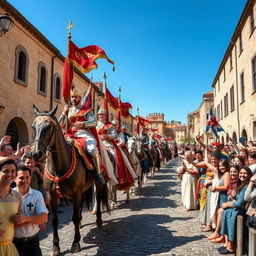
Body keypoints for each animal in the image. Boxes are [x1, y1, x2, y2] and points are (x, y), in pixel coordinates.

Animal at [31, 104, 108, 256]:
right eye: (33, 126)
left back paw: (99, 221)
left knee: (98, 198)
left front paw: (76, 242)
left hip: (97, 183)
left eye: (49, 126)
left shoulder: (75, 194)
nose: (36, 154)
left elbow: (74, 217)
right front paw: (55, 246)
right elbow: (54, 220)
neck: (59, 166)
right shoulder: (51, 196)